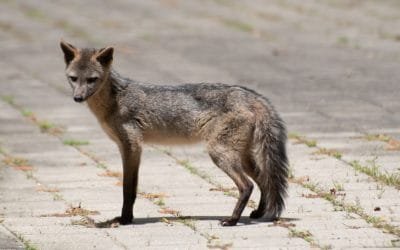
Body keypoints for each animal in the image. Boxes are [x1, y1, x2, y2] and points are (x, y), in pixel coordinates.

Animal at [59, 40, 290, 227]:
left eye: (92, 79)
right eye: (73, 78)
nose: (77, 98)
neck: (115, 101)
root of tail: (251, 96)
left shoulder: (132, 147)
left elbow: (128, 189)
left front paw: (125, 219)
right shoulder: (129, 148)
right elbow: (130, 188)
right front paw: (126, 218)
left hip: (220, 154)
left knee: (247, 185)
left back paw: (232, 220)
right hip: (241, 157)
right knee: (264, 180)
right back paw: (258, 213)